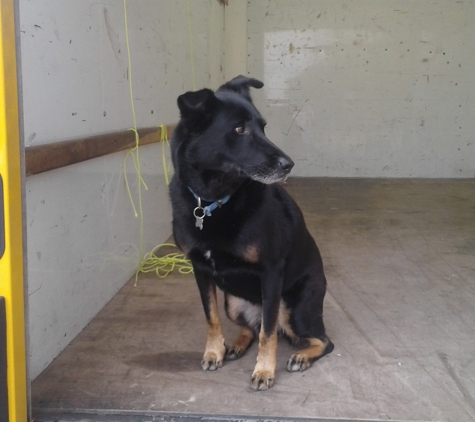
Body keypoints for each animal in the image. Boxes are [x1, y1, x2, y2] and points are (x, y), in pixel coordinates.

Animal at [169, 75, 332, 390]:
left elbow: (268, 334)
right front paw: (214, 351)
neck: (212, 202)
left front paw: (265, 371)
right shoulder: (200, 269)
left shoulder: (271, 272)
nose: (289, 165)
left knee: (320, 340)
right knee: (252, 328)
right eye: (239, 129)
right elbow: (211, 318)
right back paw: (234, 345)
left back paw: (302, 356)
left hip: (293, 309)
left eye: (263, 127)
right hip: (233, 302)